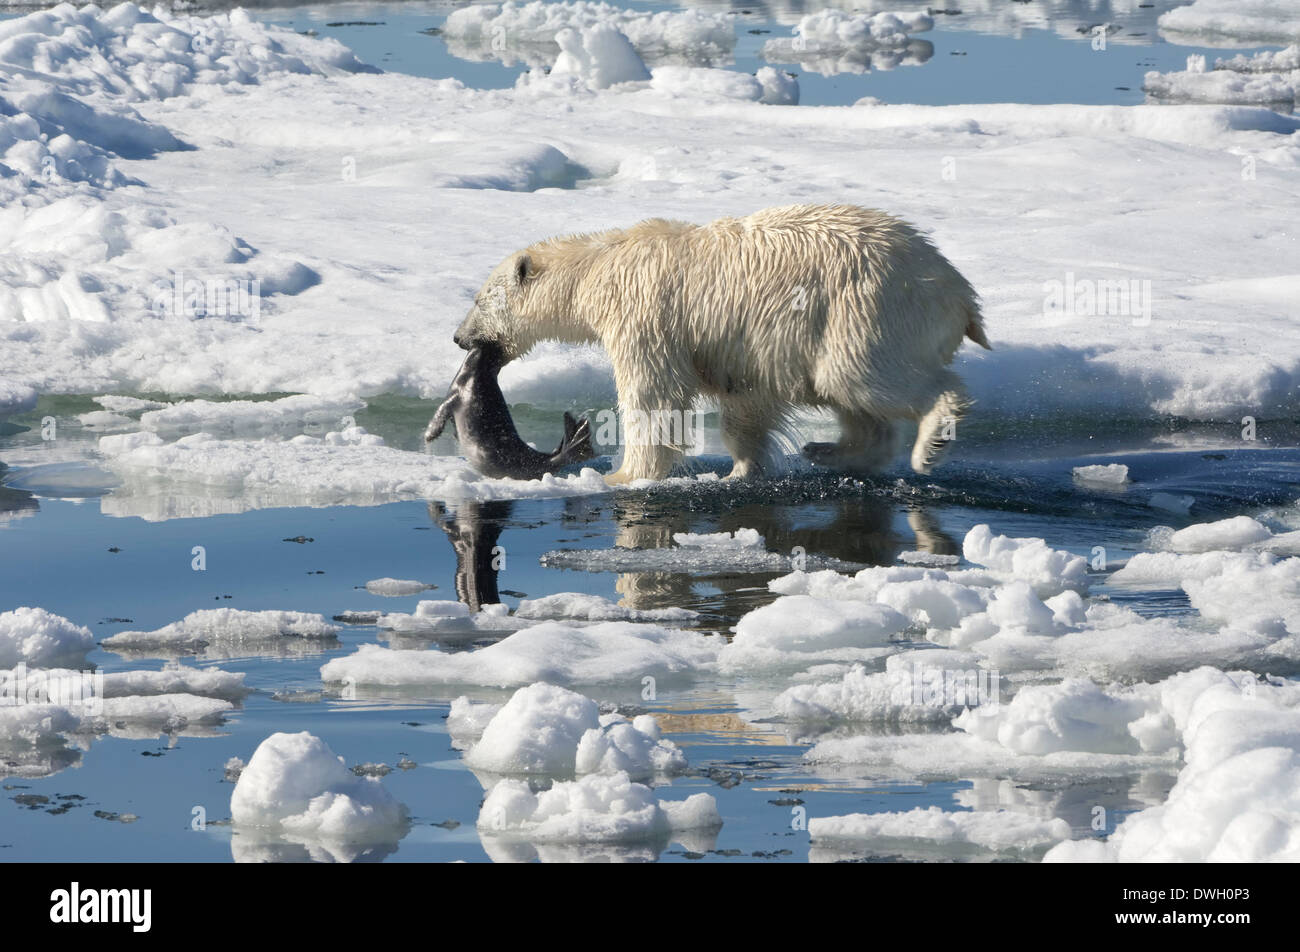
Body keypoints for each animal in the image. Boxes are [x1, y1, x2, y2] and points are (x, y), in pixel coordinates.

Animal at [452, 201, 987, 483]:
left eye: (478, 298)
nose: (459, 337)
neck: (599, 267)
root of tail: (960, 293)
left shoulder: (644, 313)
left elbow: (653, 394)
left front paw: (622, 475)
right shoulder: (741, 347)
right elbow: (745, 402)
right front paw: (742, 470)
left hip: (865, 309)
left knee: (865, 376)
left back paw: (930, 444)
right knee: (849, 394)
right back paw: (830, 451)